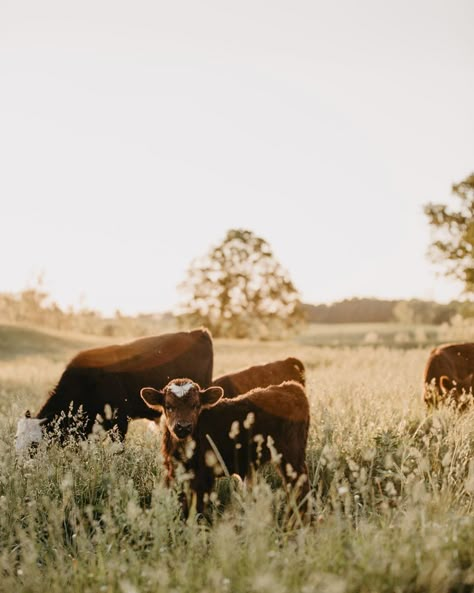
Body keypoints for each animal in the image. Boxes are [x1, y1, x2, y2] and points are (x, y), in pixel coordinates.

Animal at [141, 380, 312, 512]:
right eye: (168, 406)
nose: (183, 427)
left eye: (196, 405)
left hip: (291, 456)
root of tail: (291, 387)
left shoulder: (203, 477)